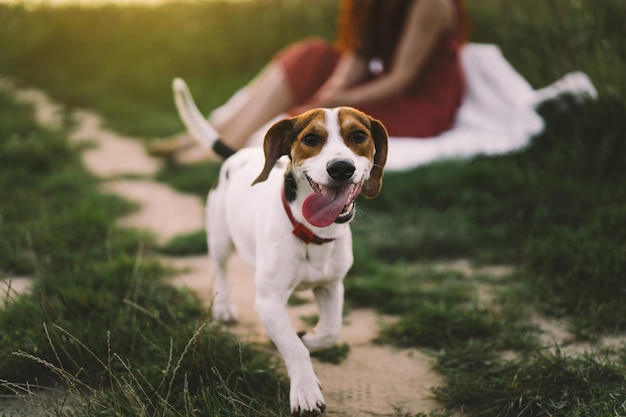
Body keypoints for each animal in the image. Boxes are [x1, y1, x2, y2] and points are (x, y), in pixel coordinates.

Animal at [171, 79, 386, 416]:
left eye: (358, 136)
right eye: (311, 139)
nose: (341, 168)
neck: (312, 233)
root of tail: (239, 153)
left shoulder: (331, 285)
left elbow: (330, 330)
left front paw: (310, 337)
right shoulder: (269, 302)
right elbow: (294, 350)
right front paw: (306, 391)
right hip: (219, 239)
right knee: (220, 269)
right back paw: (224, 307)